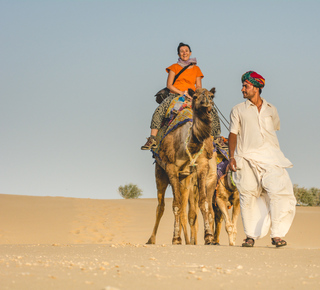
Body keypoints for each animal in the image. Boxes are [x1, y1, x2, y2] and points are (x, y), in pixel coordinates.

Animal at [147, 88, 218, 245]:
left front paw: (209, 236)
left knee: (187, 210)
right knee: (161, 206)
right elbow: (176, 205)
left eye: (211, 96)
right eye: (196, 96)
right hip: (160, 172)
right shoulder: (170, 168)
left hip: (185, 179)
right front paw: (176, 238)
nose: (206, 102)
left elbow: (203, 203)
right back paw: (151, 239)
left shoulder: (202, 167)